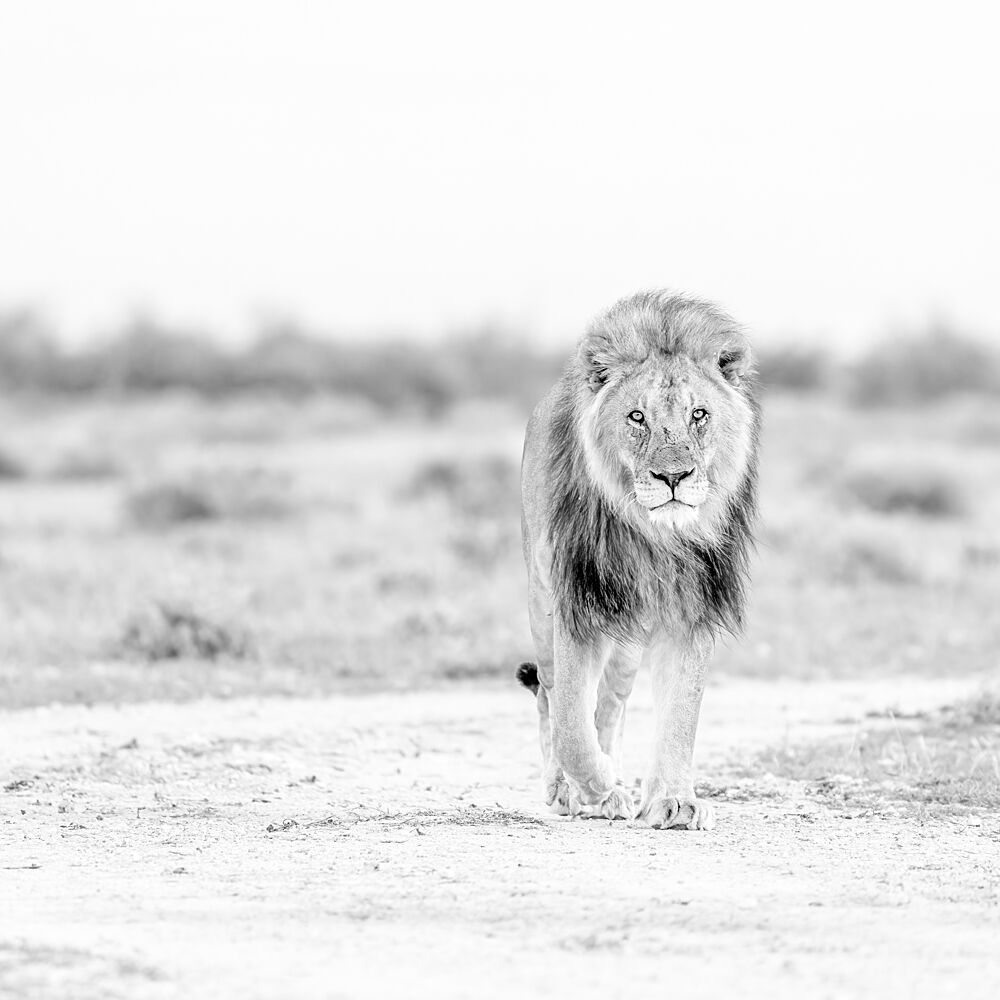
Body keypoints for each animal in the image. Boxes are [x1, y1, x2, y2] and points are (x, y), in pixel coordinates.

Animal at [517, 290, 759, 829]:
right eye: (636, 417)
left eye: (699, 414)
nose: (674, 477)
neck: (654, 538)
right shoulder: (578, 605)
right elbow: (570, 727)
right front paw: (598, 789)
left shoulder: (691, 611)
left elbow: (681, 714)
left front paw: (674, 800)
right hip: (543, 606)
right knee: (550, 693)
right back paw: (572, 790)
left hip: (627, 641)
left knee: (610, 704)